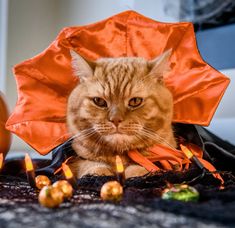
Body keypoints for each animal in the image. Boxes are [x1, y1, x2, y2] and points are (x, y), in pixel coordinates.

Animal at [67, 49, 175, 178]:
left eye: (135, 101)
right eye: (99, 101)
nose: (115, 119)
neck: (119, 158)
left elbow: (142, 167)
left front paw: (138, 173)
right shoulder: (77, 158)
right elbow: (90, 164)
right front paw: (98, 172)